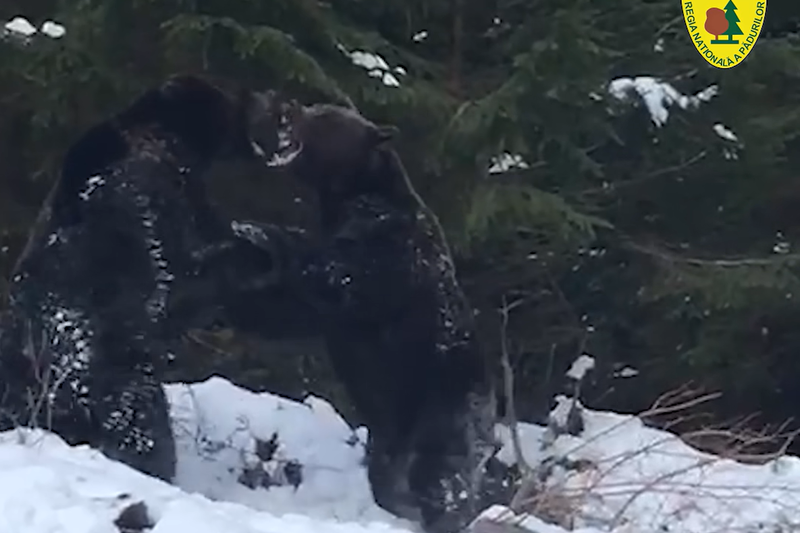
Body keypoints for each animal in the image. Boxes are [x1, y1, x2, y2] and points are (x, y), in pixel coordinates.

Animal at [0, 76, 296, 482]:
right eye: (242, 98)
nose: (280, 105)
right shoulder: (159, 213)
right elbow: (191, 274)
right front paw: (257, 255)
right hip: (113, 370)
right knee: (143, 427)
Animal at [250, 102, 510, 528]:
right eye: (315, 107)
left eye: (325, 117)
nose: (288, 109)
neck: (351, 195)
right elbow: (298, 309)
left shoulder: (388, 248)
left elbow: (340, 275)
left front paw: (263, 233)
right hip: (393, 431)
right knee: (389, 475)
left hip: (443, 404)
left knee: (440, 475)